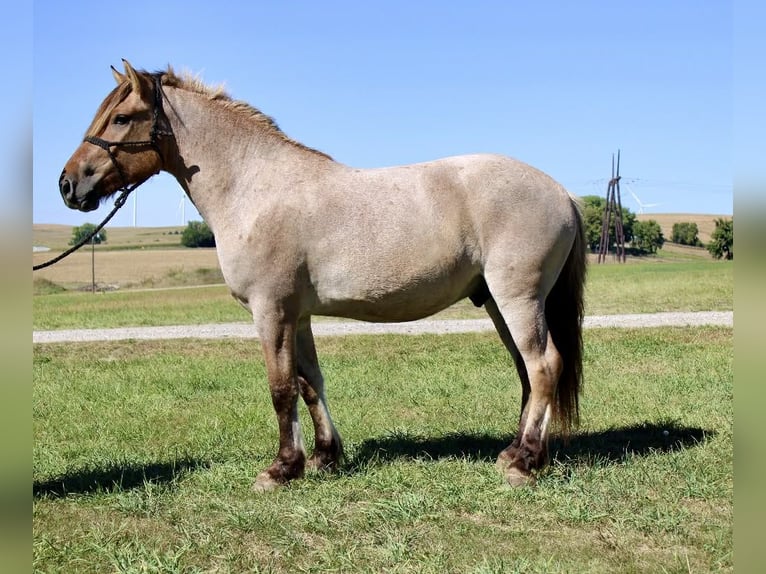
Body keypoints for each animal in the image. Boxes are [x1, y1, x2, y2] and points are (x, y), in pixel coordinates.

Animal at [58, 60, 586, 490]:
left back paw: (524, 464)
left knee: (543, 366)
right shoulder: (299, 316)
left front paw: (280, 469)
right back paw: (514, 452)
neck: (255, 188)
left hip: (517, 298)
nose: (68, 184)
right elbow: (310, 382)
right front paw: (323, 458)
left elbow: (280, 388)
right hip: (498, 302)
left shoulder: (270, 311)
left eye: (120, 118)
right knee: (527, 372)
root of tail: (561, 192)